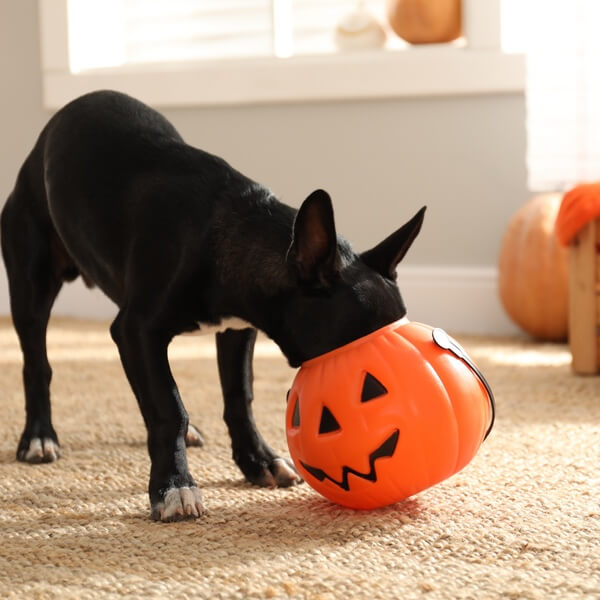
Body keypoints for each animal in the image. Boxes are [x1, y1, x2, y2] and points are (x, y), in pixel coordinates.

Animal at [1, 89, 422, 520]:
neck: (229, 230)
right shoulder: (137, 331)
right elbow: (168, 407)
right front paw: (174, 486)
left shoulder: (237, 330)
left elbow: (238, 397)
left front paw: (258, 461)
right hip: (31, 285)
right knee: (37, 364)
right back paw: (39, 438)